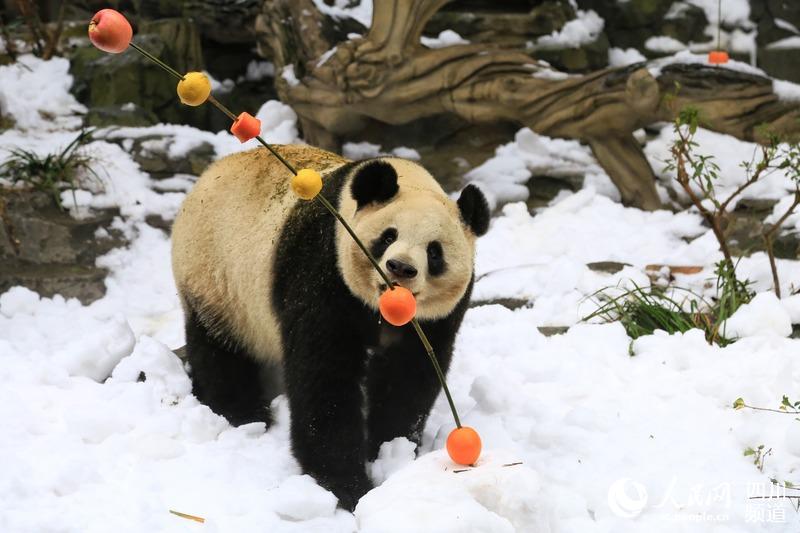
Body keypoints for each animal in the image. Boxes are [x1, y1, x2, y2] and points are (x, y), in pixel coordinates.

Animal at [172, 143, 490, 510]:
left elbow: (408, 376)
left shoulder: (436, 320)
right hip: (216, 277)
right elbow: (325, 374)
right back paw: (245, 413)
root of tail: (208, 175)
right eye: (388, 237)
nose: (400, 268)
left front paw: (391, 450)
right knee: (219, 351)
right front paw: (348, 484)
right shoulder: (325, 270)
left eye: (434, 253)